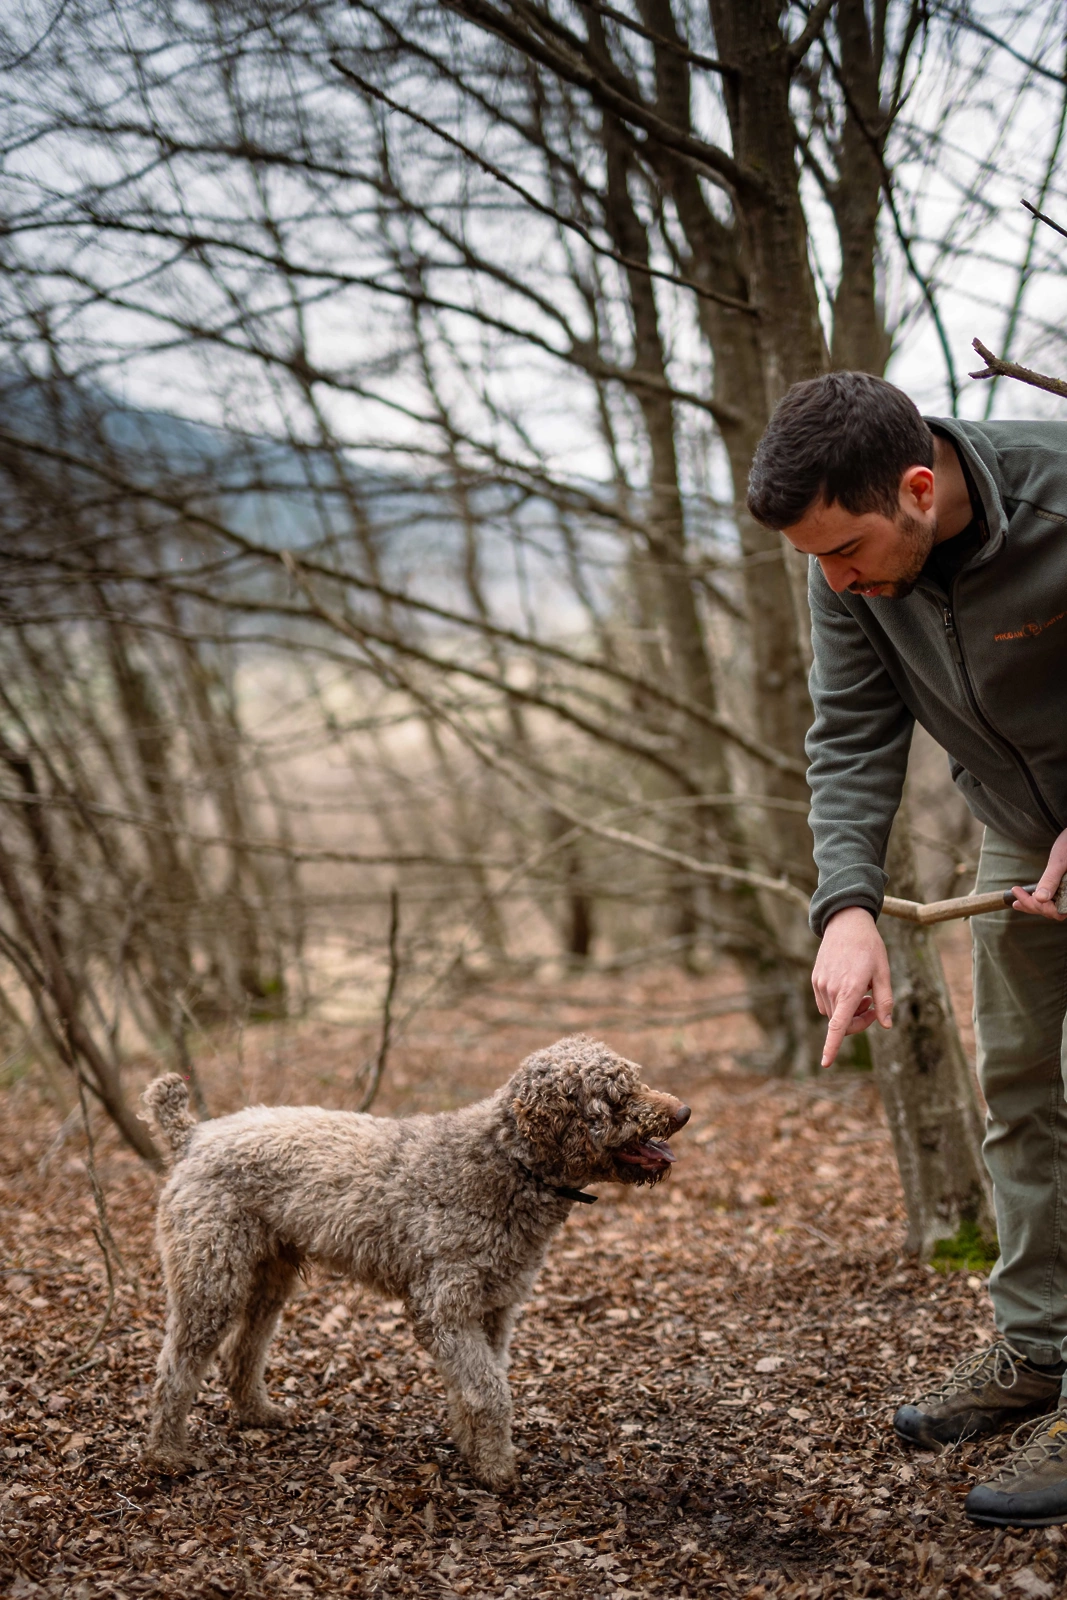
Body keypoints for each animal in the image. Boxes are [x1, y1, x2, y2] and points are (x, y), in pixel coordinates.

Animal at [141, 1036, 687, 1484]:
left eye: (635, 1078)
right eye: (615, 1097)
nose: (683, 1112)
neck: (510, 1163)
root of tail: (193, 1136)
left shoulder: (492, 1310)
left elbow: (471, 1387)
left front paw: (474, 1452)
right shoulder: (444, 1312)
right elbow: (490, 1392)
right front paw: (498, 1470)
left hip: (266, 1278)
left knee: (241, 1354)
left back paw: (259, 1415)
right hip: (210, 1281)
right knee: (176, 1367)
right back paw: (166, 1455)